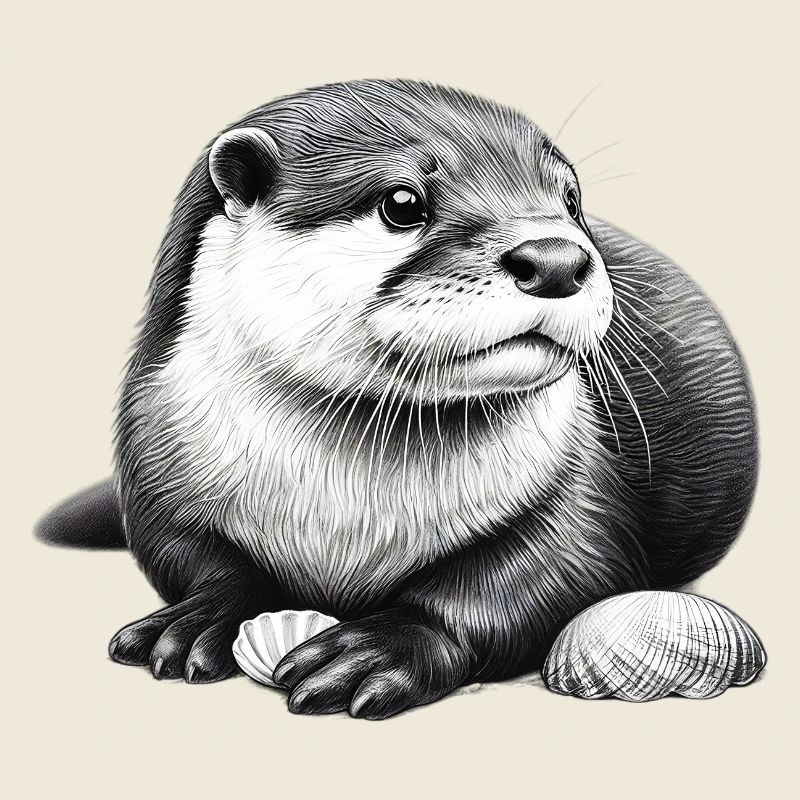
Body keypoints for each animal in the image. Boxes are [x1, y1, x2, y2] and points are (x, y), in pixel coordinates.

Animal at [38, 79, 757, 719]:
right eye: (403, 203)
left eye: (572, 199)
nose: (556, 257)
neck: (342, 516)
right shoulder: (155, 454)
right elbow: (185, 552)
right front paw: (196, 619)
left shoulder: (581, 477)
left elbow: (556, 570)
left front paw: (382, 648)